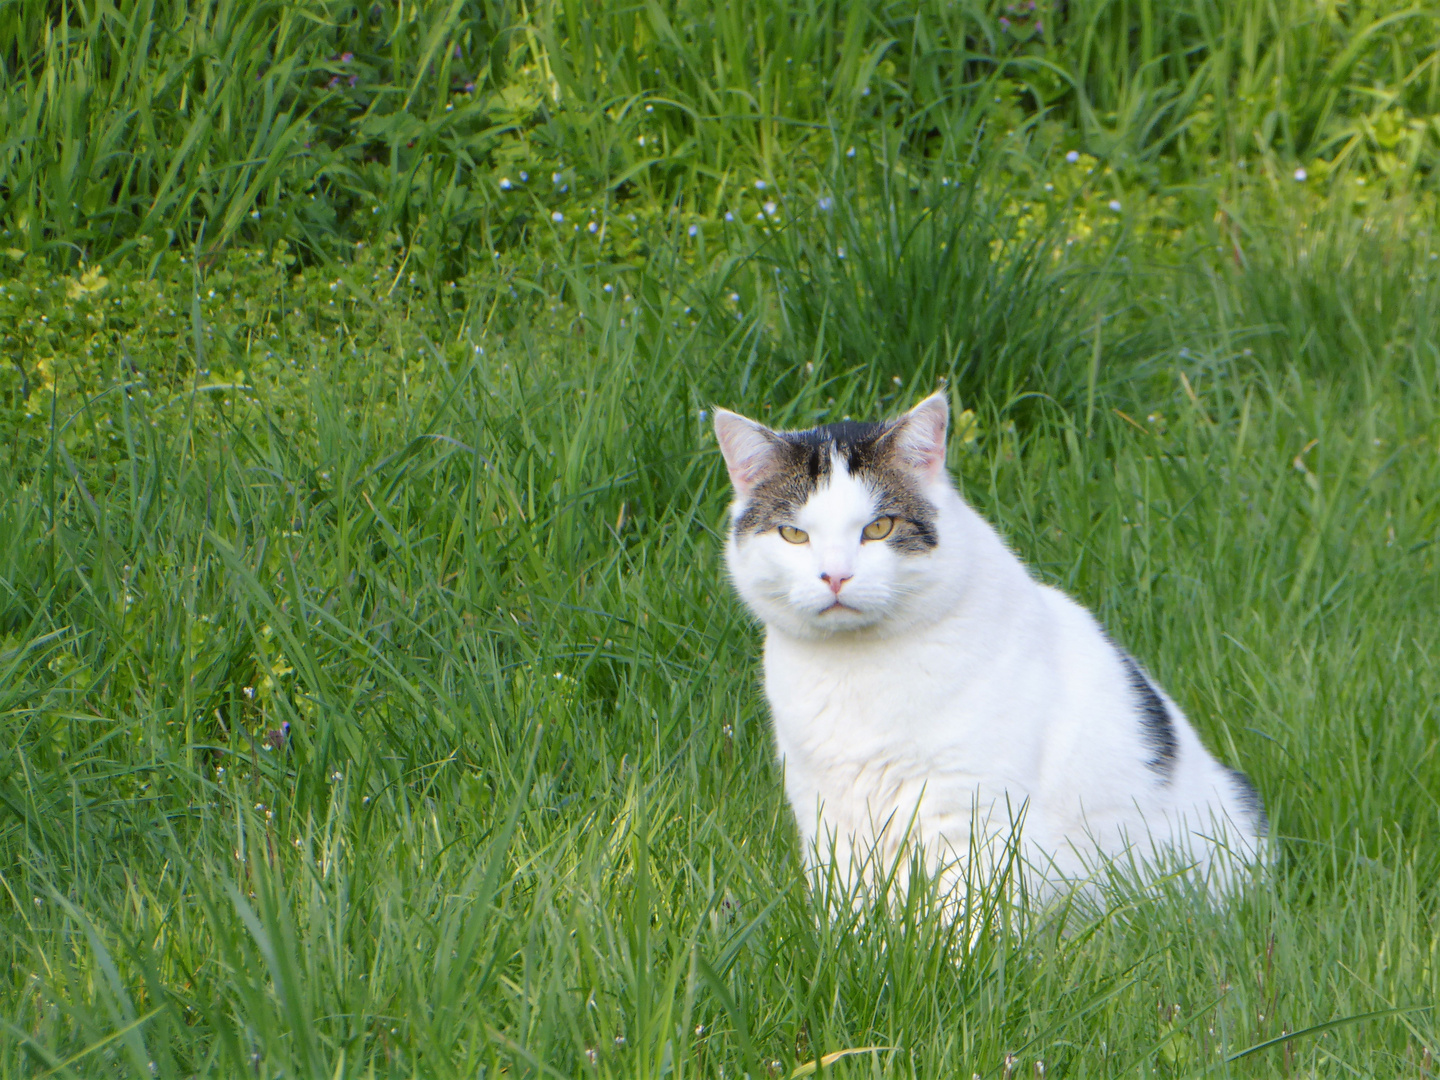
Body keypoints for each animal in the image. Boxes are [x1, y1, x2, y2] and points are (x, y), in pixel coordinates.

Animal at [714, 394, 1267, 910]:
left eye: (879, 528)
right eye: (793, 534)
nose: (835, 576)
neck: (857, 670)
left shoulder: (971, 817)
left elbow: (964, 921)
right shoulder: (827, 816)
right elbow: (847, 912)